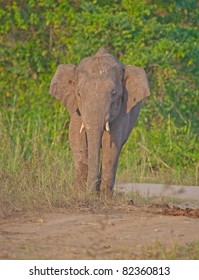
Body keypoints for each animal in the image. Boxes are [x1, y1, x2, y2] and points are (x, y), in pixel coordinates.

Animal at [49, 48, 149, 195]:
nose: (89, 192)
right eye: (79, 94)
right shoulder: (76, 110)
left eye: (113, 93)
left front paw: (102, 196)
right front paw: (78, 192)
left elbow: (111, 145)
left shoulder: (122, 111)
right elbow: (76, 138)